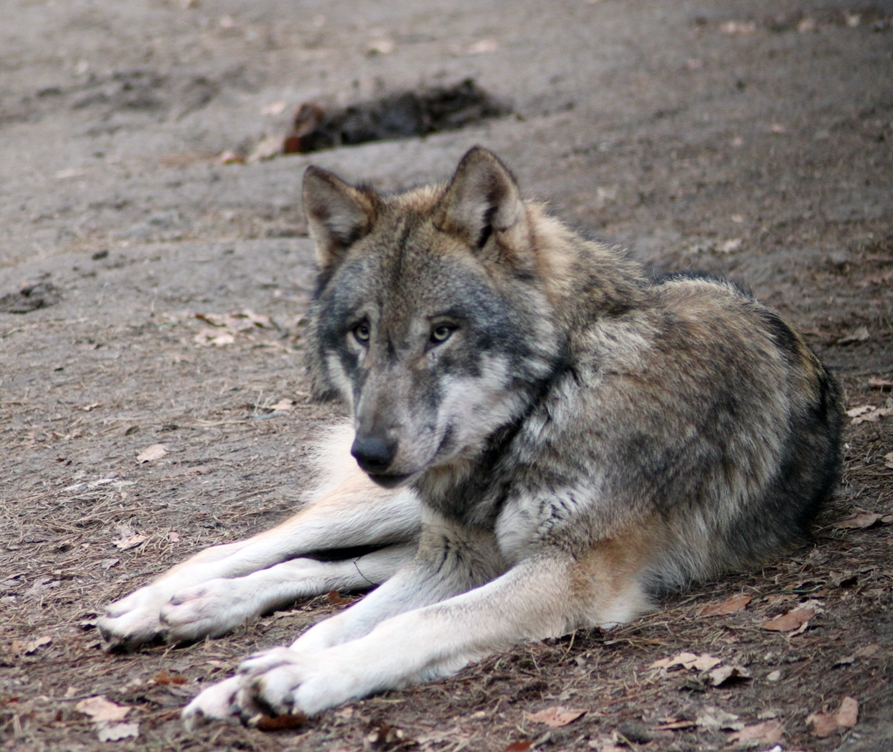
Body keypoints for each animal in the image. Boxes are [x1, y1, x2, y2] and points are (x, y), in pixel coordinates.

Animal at [94, 144, 840, 724]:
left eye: (441, 332)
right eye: (361, 332)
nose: (370, 451)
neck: (544, 406)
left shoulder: (563, 573)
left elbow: (404, 623)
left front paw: (285, 677)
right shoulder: (458, 559)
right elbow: (339, 623)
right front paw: (246, 679)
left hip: (418, 533)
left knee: (323, 569)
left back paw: (201, 618)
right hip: (386, 511)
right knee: (253, 547)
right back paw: (151, 608)